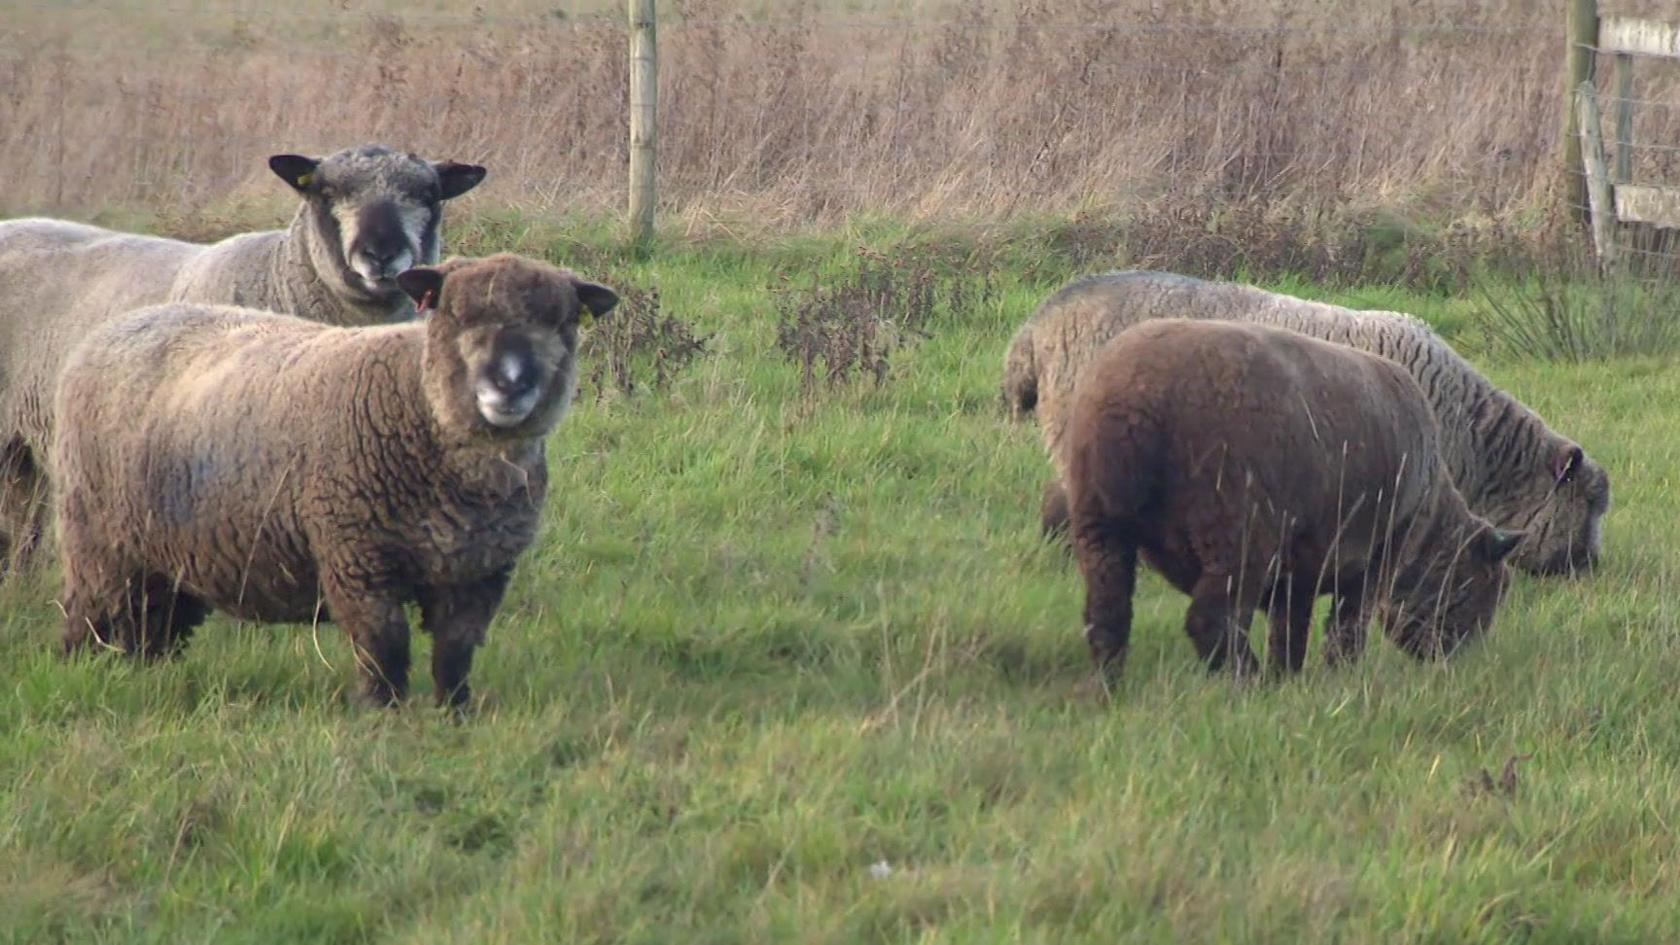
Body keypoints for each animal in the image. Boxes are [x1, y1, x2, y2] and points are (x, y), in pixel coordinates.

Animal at [50, 253, 618, 702]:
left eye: (562, 321)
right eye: (455, 312)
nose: (509, 385)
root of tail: (110, 331)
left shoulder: (480, 573)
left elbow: (454, 658)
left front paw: (454, 718)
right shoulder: (358, 559)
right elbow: (385, 653)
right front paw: (385, 720)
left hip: (171, 554)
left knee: (151, 627)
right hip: (97, 540)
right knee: (87, 620)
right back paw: (76, 678)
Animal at [1068, 319, 1532, 679]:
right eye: (1485, 585)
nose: (1453, 660)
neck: (1432, 520)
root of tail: (1134, 403)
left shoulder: (1300, 566)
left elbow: (1288, 629)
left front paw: (1286, 679)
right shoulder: (1376, 557)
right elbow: (1346, 625)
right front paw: (1337, 676)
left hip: (1100, 525)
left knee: (1106, 615)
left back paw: (1111, 686)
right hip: (1237, 529)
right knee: (1212, 620)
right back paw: (1246, 682)